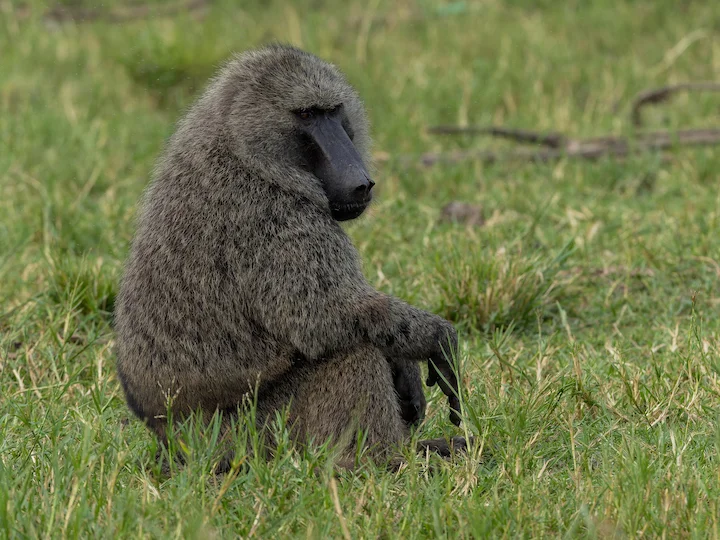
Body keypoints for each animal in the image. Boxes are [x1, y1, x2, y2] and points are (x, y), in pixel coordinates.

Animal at [114, 44, 466, 469]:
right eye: (306, 115)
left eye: (333, 111)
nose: (360, 182)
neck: (241, 148)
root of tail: (170, 438)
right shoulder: (277, 219)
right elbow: (325, 318)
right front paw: (438, 339)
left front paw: (408, 371)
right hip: (247, 439)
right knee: (353, 353)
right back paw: (386, 465)